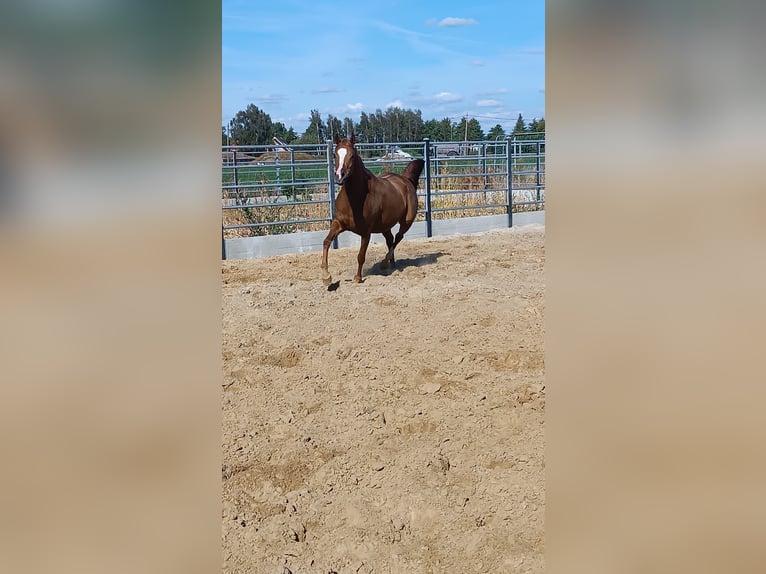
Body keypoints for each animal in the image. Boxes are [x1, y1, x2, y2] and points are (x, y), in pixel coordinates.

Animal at [321, 133, 424, 284]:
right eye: (334, 154)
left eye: (352, 155)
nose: (340, 177)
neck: (356, 200)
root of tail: (405, 180)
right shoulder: (338, 224)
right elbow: (326, 242)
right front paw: (326, 276)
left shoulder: (366, 232)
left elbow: (361, 255)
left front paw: (358, 278)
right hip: (385, 225)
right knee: (390, 239)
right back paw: (392, 265)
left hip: (406, 221)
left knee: (398, 237)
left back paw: (385, 263)